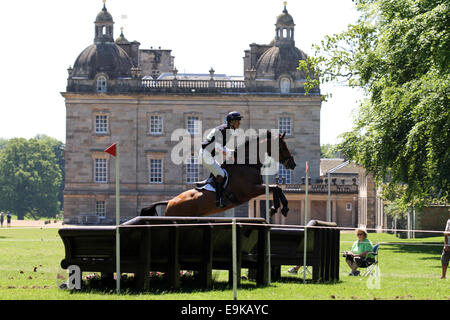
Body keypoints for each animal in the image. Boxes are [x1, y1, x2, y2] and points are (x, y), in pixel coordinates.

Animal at [141, 131, 296, 218]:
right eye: (282, 146)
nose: (292, 164)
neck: (247, 164)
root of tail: (170, 202)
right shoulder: (250, 190)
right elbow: (276, 187)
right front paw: (281, 207)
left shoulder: (255, 188)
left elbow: (275, 188)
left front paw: (276, 208)